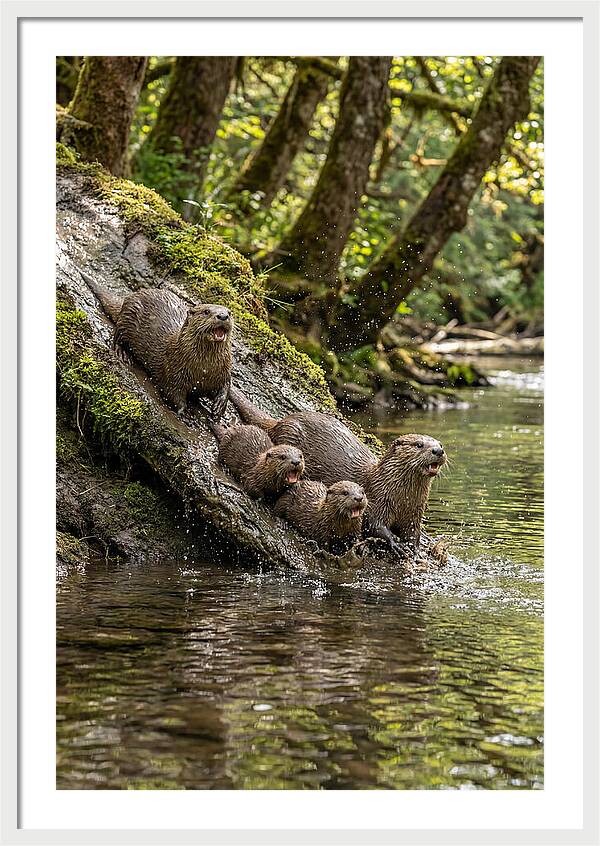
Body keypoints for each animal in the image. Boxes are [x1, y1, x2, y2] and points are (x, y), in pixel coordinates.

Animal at [81, 270, 233, 419]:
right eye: (206, 311)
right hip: (127, 317)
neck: (203, 370)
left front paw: (219, 406)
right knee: (117, 335)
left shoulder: (223, 370)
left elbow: (226, 384)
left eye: (229, 312)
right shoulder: (173, 371)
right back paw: (122, 353)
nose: (223, 316)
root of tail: (131, 296)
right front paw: (184, 412)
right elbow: (172, 393)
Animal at [230, 387, 446, 550]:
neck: (402, 498)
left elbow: (413, 532)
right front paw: (395, 543)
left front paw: (414, 547)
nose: (438, 450)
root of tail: (281, 422)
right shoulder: (377, 501)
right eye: (419, 444)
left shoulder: (414, 513)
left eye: (440, 443)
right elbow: (375, 525)